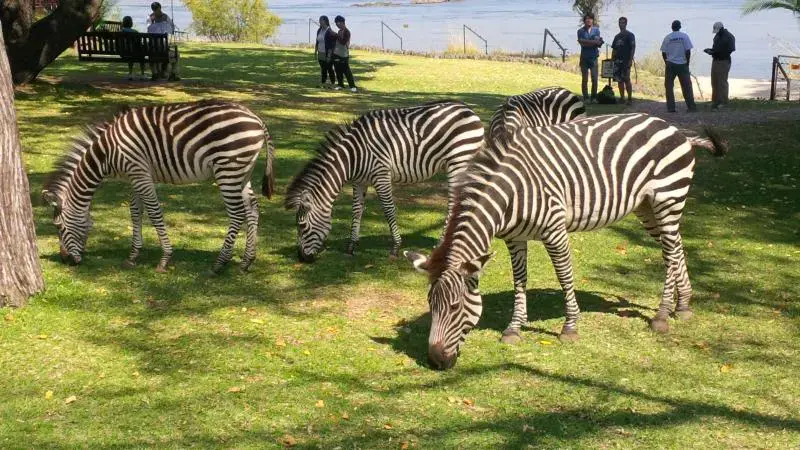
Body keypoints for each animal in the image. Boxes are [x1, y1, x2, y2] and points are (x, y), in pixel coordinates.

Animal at [41, 100, 275, 274]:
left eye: (58, 227)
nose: (65, 260)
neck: (106, 153)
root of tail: (256, 118)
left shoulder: (138, 171)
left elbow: (154, 213)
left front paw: (164, 259)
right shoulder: (136, 175)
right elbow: (135, 212)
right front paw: (133, 256)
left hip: (228, 169)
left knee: (237, 214)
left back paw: (219, 264)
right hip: (242, 172)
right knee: (253, 209)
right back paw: (246, 261)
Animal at [285, 100, 485, 263]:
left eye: (302, 226)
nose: (301, 258)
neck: (353, 156)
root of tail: (469, 110)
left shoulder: (381, 175)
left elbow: (389, 210)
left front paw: (395, 247)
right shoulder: (359, 182)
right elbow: (356, 210)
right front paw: (351, 246)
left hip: (458, 163)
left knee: (455, 202)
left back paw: (443, 242)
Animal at [404, 113, 727, 370]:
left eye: (455, 306)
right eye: (430, 304)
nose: (435, 362)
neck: (510, 193)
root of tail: (675, 129)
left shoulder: (554, 230)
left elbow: (564, 275)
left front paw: (569, 327)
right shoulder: (514, 239)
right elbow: (519, 280)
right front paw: (514, 328)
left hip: (668, 199)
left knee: (671, 252)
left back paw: (661, 315)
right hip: (647, 208)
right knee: (675, 248)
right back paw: (682, 306)